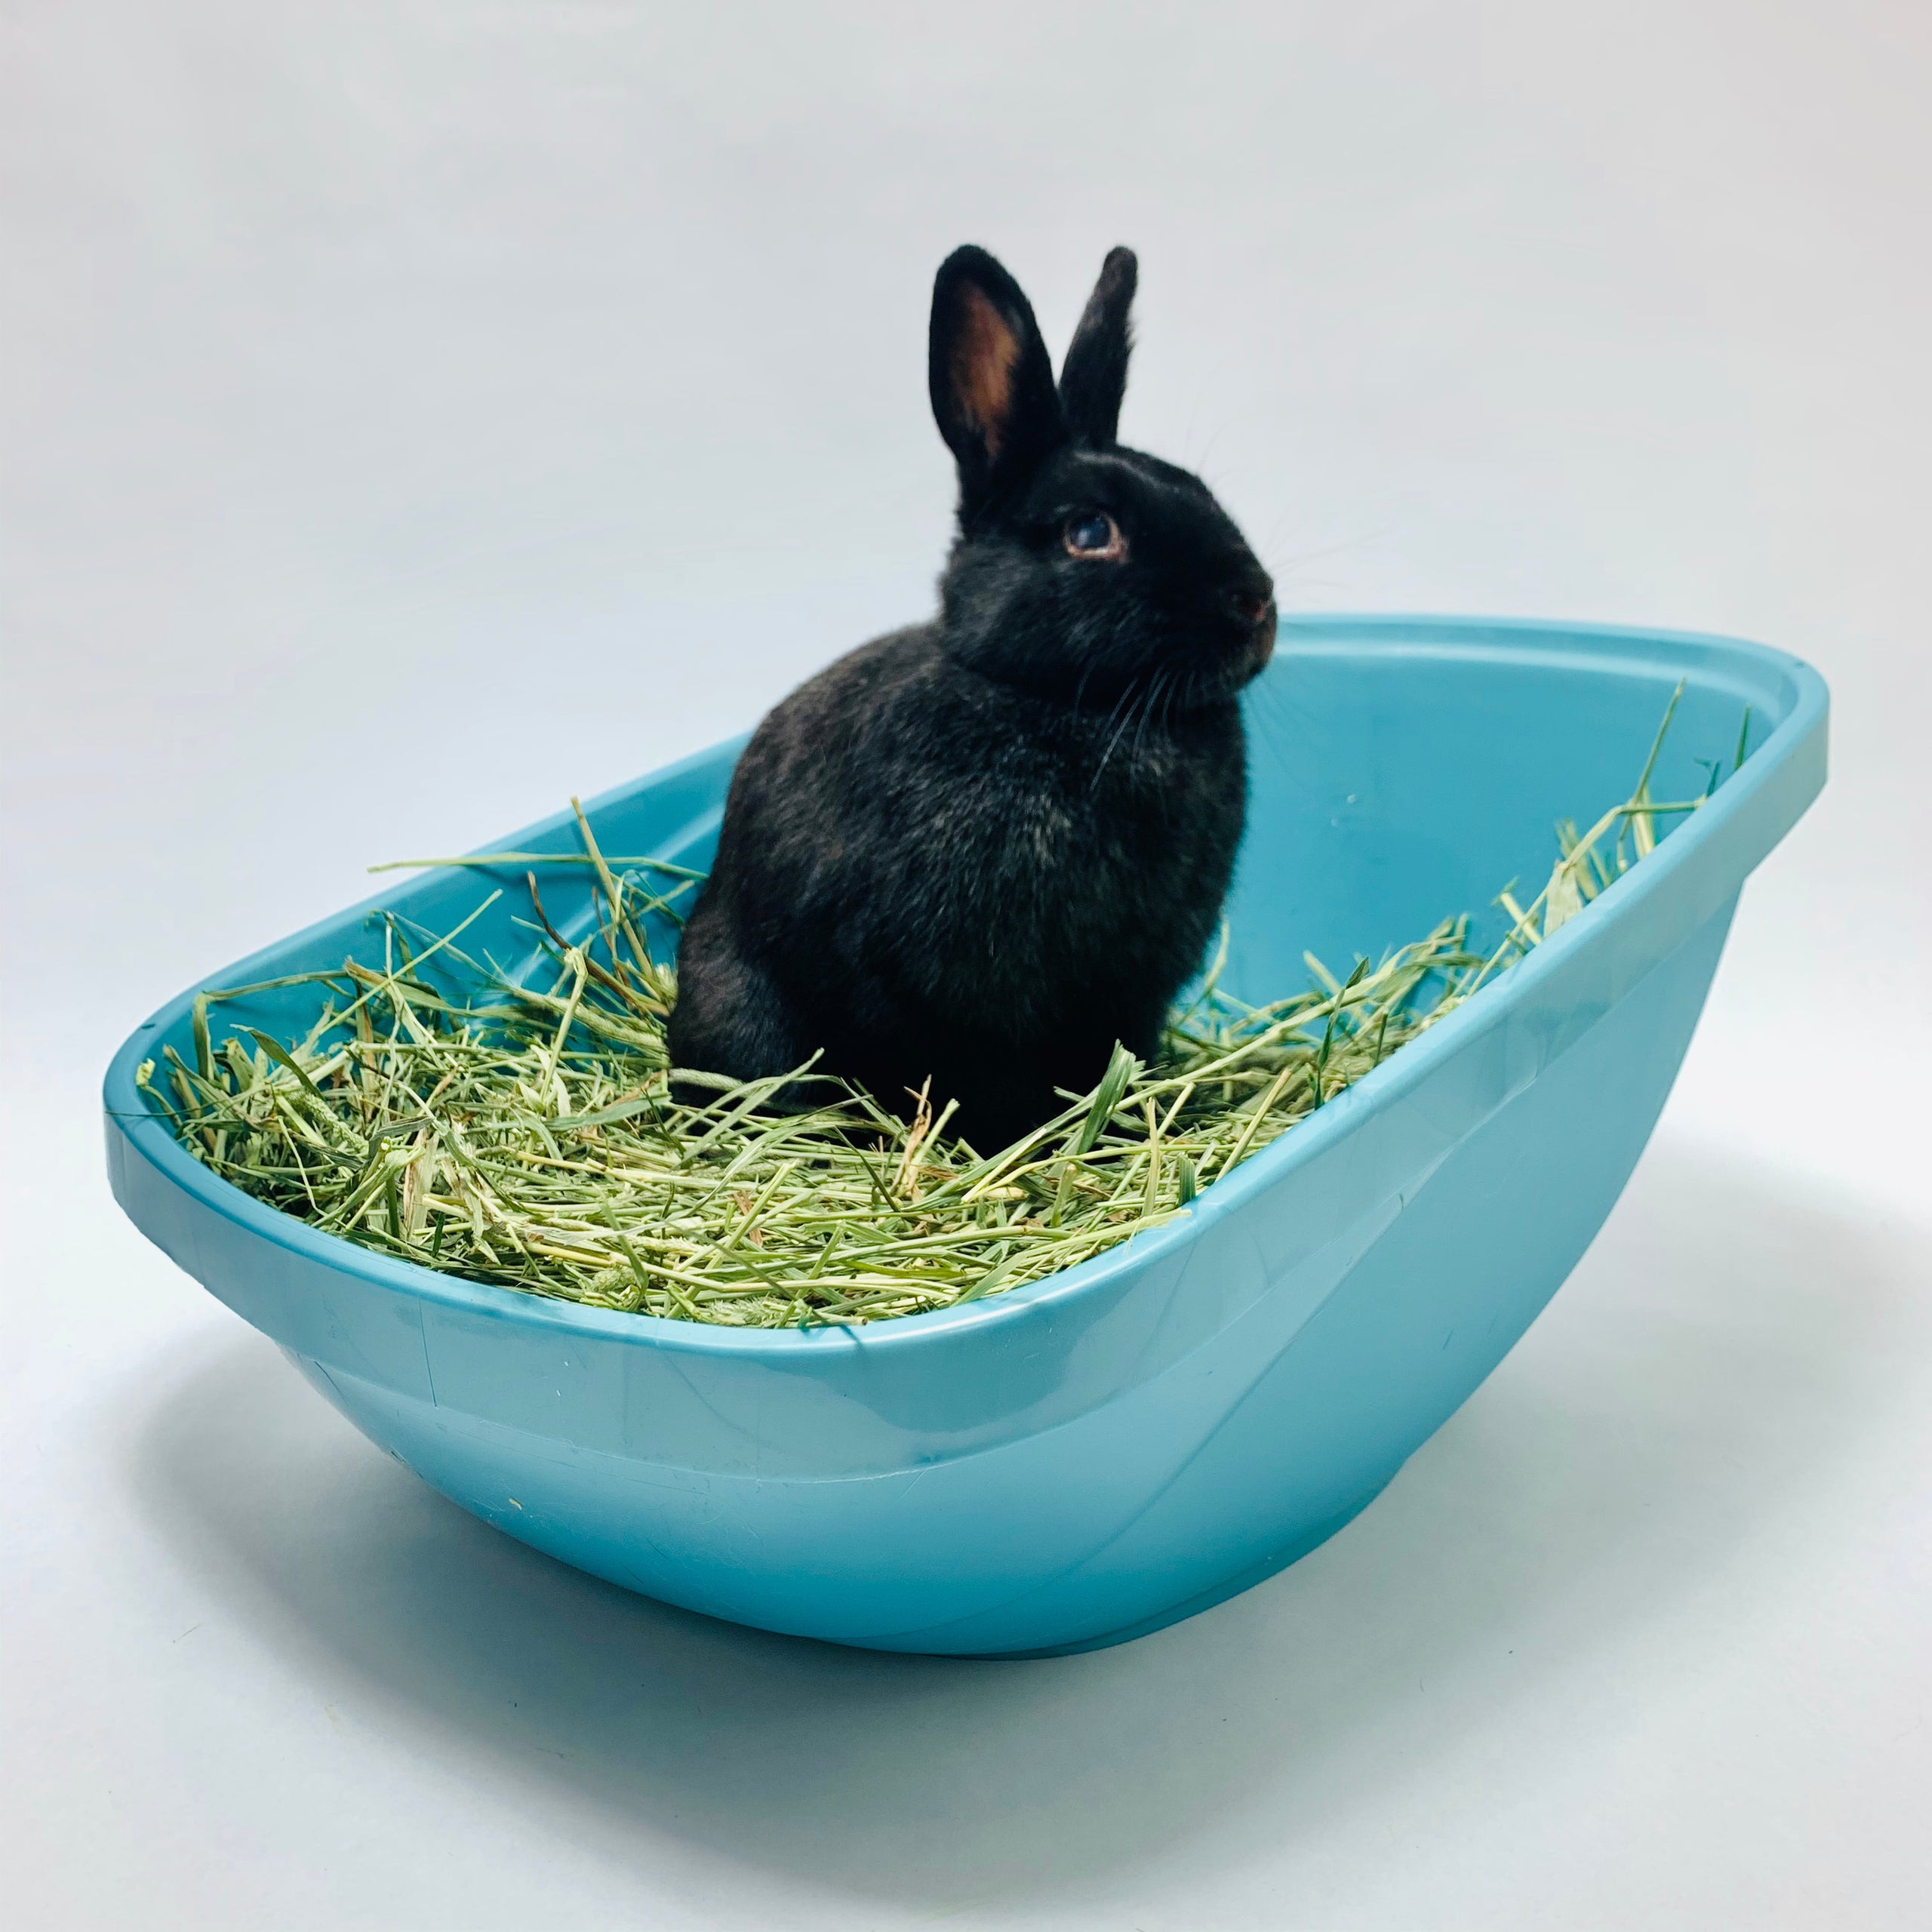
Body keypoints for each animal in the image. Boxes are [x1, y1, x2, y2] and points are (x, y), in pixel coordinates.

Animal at [667, 244, 1277, 1151]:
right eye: (1089, 532)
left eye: (1199, 488)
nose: (1257, 603)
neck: (1057, 700)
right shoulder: (934, 992)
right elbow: (978, 1079)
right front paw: (1023, 1145)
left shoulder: (1134, 991)